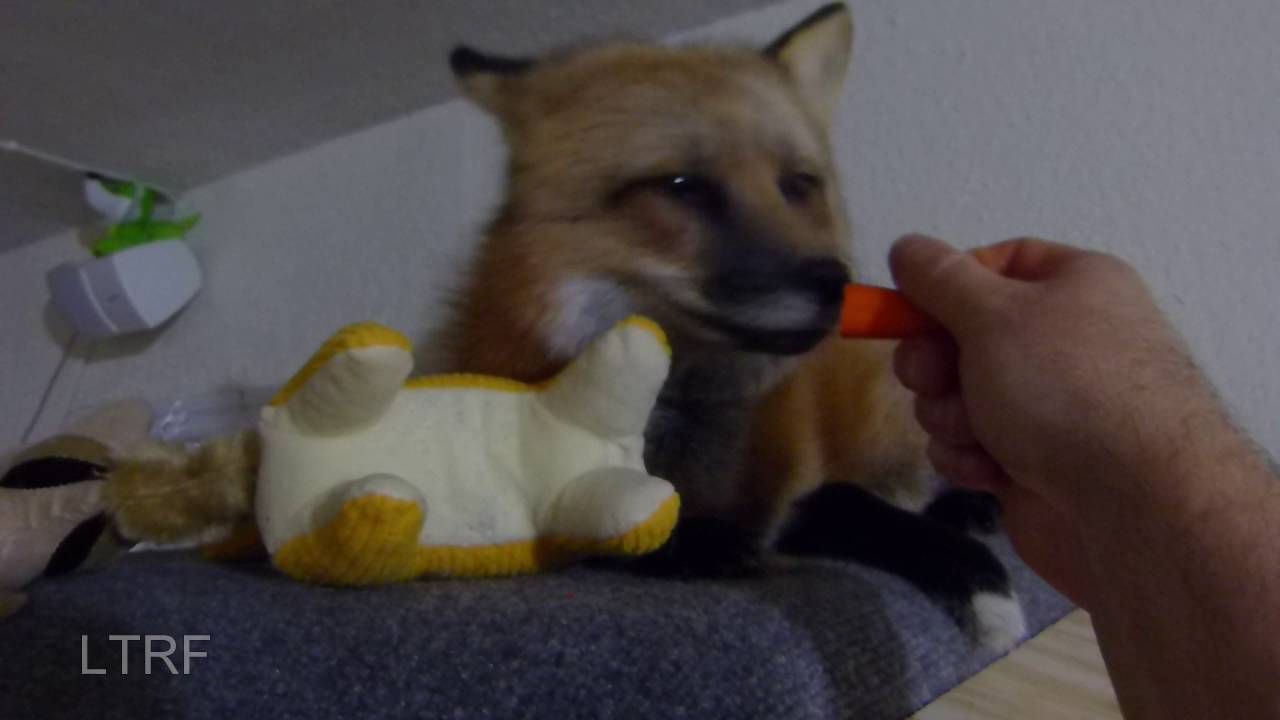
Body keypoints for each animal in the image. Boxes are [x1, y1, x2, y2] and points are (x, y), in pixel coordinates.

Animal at [441, 2, 1028, 651]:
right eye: (681, 186)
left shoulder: (798, 494)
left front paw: (977, 580)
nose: (837, 283)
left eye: (798, 184)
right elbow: (595, 516)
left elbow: (843, 502)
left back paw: (967, 504)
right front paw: (685, 539)